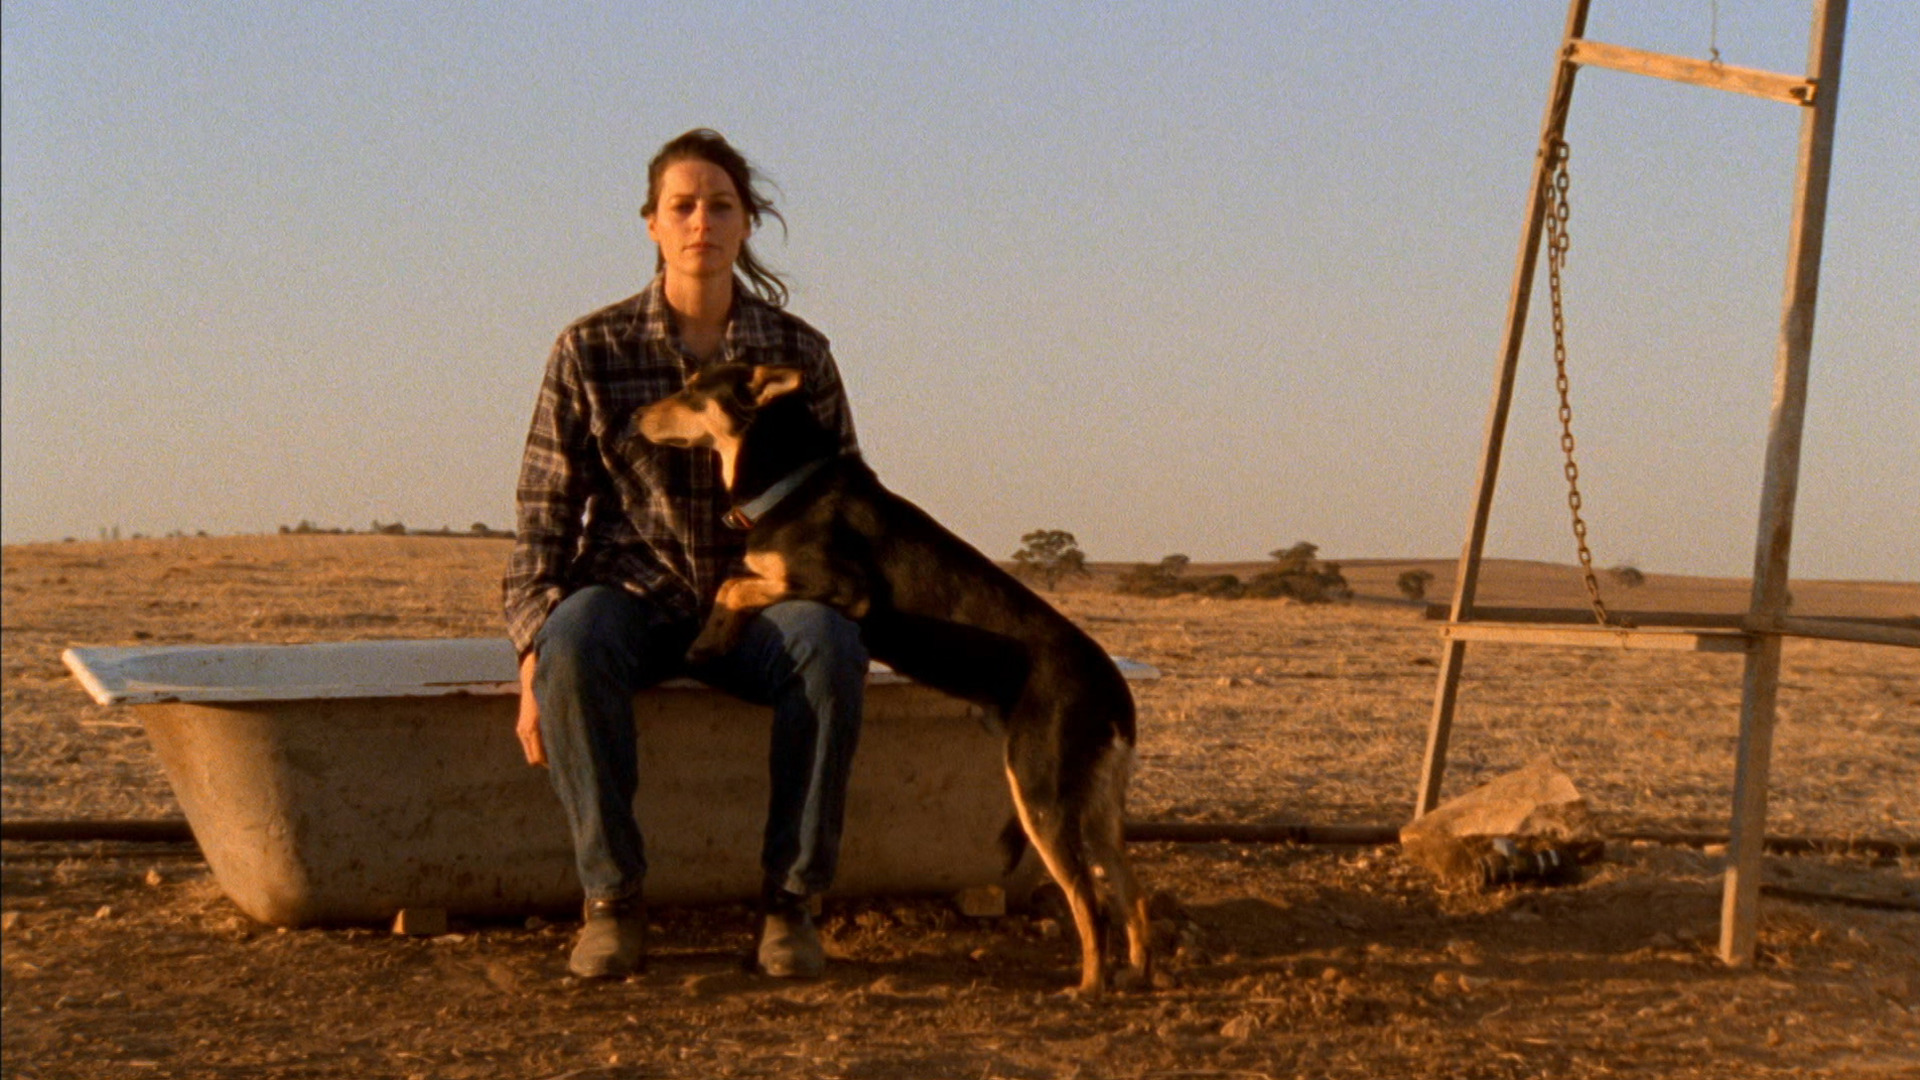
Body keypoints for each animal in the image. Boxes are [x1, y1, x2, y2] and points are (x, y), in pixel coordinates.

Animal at [638, 363, 1151, 994]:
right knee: (1131, 893)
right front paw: (712, 639)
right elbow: (737, 585)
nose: (635, 417)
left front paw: (709, 639)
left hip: (1040, 792)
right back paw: (1137, 974)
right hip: (1097, 805)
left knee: (1088, 900)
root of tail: (1114, 692)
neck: (788, 487)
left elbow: (736, 585)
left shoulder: (844, 588)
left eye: (692, 389)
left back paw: (1089, 987)